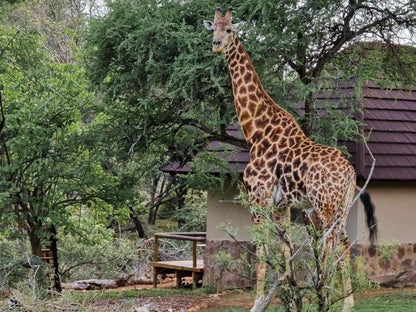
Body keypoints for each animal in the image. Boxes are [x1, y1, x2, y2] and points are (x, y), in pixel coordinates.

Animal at [203, 7, 378, 312]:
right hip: (340, 207)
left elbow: (262, 246)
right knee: (342, 242)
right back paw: (344, 302)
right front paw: (291, 293)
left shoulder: (258, 197)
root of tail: (349, 174)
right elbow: (286, 247)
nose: (216, 45)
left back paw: (325, 296)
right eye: (213, 28)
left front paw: (258, 302)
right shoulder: (282, 203)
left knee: (329, 243)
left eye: (229, 30)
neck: (256, 131)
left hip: (324, 205)